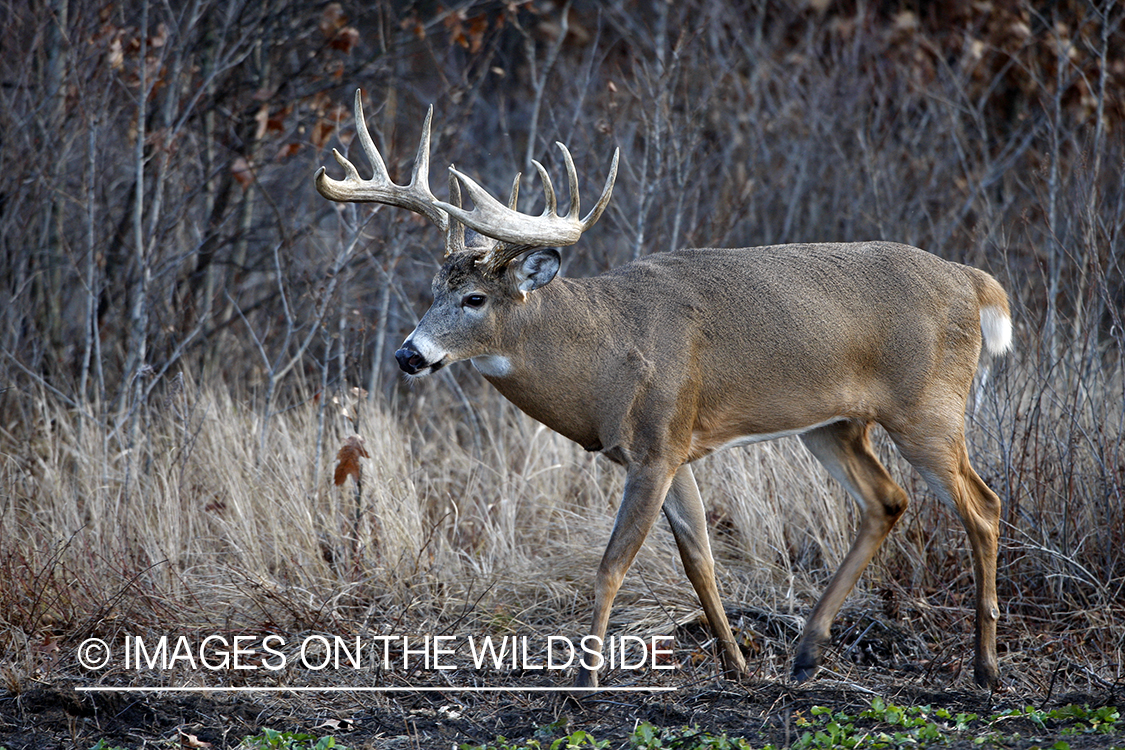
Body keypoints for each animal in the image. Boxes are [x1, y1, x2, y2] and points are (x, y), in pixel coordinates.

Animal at [315, 89, 1012, 692]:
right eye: (434, 289)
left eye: (475, 299)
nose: (409, 354)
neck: (604, 356)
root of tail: (975, 282)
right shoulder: (675, 449)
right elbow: (699, 557)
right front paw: (736, 665)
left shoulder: (656, 446)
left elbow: (611, 565)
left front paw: (587, 678)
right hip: (832, 423)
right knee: (887, 500)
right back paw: (807, 653)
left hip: (927, 407)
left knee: (983, 505)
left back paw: (986, 669)